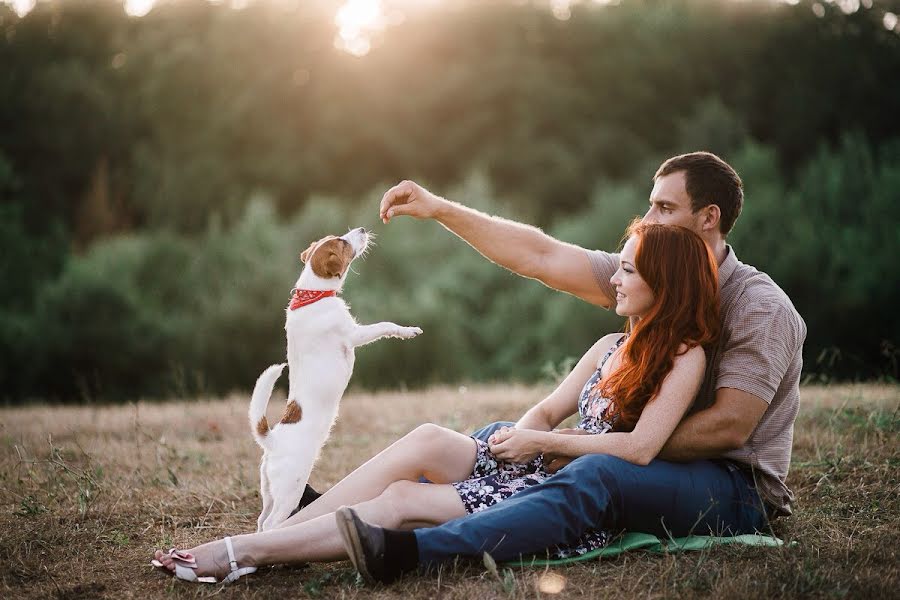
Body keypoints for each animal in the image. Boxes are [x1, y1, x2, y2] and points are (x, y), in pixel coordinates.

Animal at [250, 226, 422, 528]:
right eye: (342, 242)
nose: (362, 229)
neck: (313, 295)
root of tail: (272, 440)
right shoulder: (354, 335)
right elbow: (384, 326)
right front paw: (407, 330)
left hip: (268, 491)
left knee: (260, 522)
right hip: (289, 490)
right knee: (271, 524)